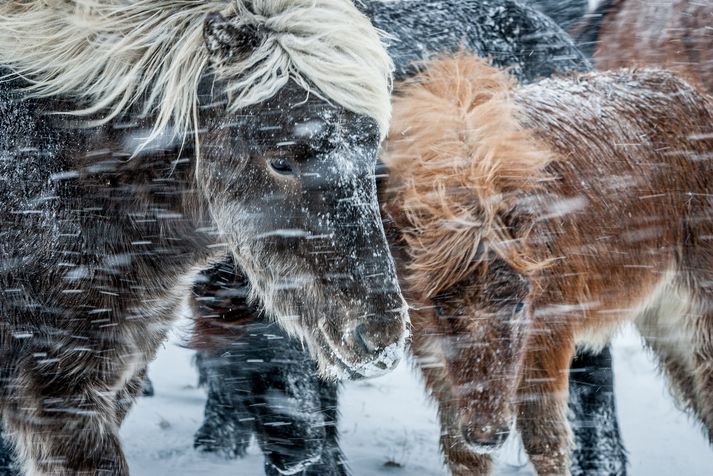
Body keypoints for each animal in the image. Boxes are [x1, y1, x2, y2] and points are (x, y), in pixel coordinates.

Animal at [382, 53, 712, 476]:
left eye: (520, 304)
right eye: (438, 307)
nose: (487, 431)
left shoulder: (550, 334)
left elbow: (547, 441)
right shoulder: (431, 352)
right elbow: (462, 451)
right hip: (665, 321)